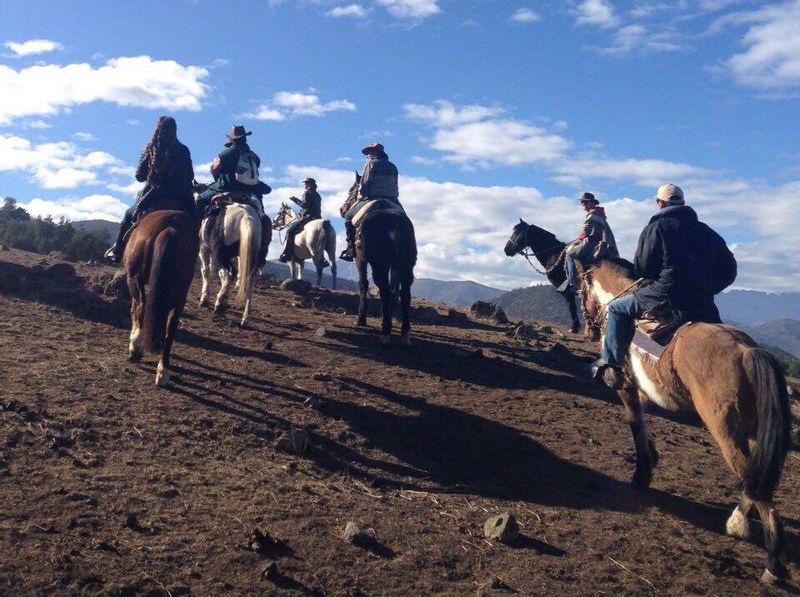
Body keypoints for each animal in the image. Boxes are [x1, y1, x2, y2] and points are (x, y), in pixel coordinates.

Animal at [126, 210, 202, 386]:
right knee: (171, 325)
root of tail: (170, 229)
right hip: (180, 293)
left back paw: (135, 349)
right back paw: (163, 370)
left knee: (141, 307)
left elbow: (134, 310)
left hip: (134, 279)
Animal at [195, 185, 270, 328]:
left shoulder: (204, 248)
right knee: (249, 282)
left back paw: (219, 304)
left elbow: (206, 271)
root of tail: (248, 215)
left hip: (220, 253)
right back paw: (245, 319)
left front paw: (205, 299)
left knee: (229, 273)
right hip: (255, 259)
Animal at [342, 170, 416, 344]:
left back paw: (386, 332)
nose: (342, 209)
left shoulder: (360, 260)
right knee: (404, 293)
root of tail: (393, 222)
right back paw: (405, 333)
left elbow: (363, 284)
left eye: (352, 190)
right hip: (405, 265)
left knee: (384, 290)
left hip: (379, 265)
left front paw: (361, 319)